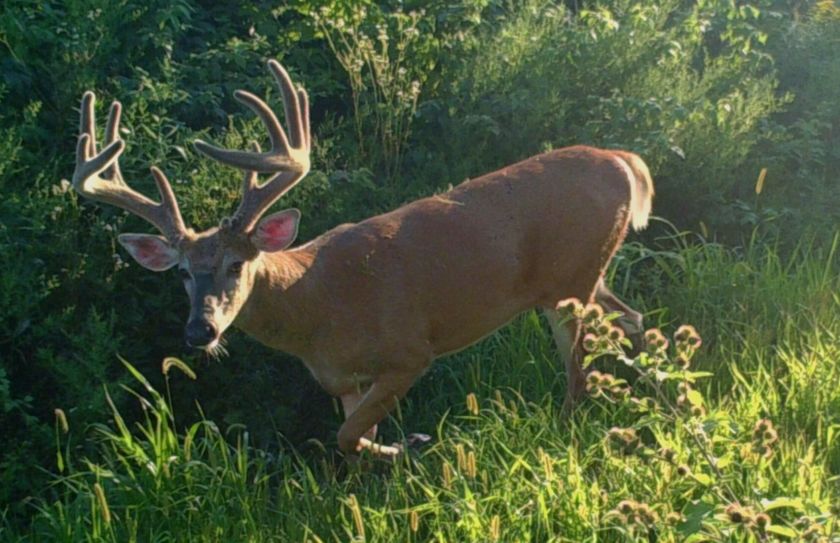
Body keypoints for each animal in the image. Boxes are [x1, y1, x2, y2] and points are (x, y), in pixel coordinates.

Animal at [70, 59, 648, 456]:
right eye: (184, 274)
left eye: (239, 264)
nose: (200, 331)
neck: (315, 308)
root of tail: (623, 159)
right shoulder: (344, 380)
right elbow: (350, 438)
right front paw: (390, 459)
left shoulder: (408, 352)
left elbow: (347, 436)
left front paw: (407, 447)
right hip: (587, 276)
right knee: (632, 317)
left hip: (571, 282)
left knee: (581, 367)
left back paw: (578, 420)